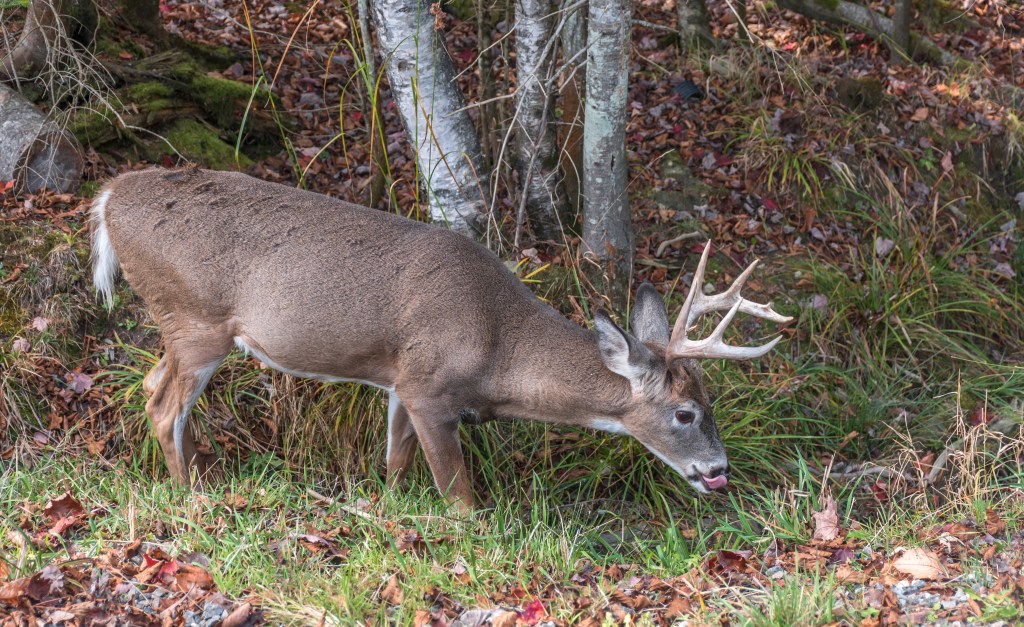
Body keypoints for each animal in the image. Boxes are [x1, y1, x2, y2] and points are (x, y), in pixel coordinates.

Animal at [90, 168, 790, 514]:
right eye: (686, 412)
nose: (719, 472)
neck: (498, 345)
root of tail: (108, 196)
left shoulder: (400, 380)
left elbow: (395, 465)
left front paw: (390, 513)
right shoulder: (429, 389)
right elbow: (460, 499)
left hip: (182, 326)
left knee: (152, 386)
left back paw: (201, 475)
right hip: (196, 317)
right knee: (162, 405)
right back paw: (192, 497)